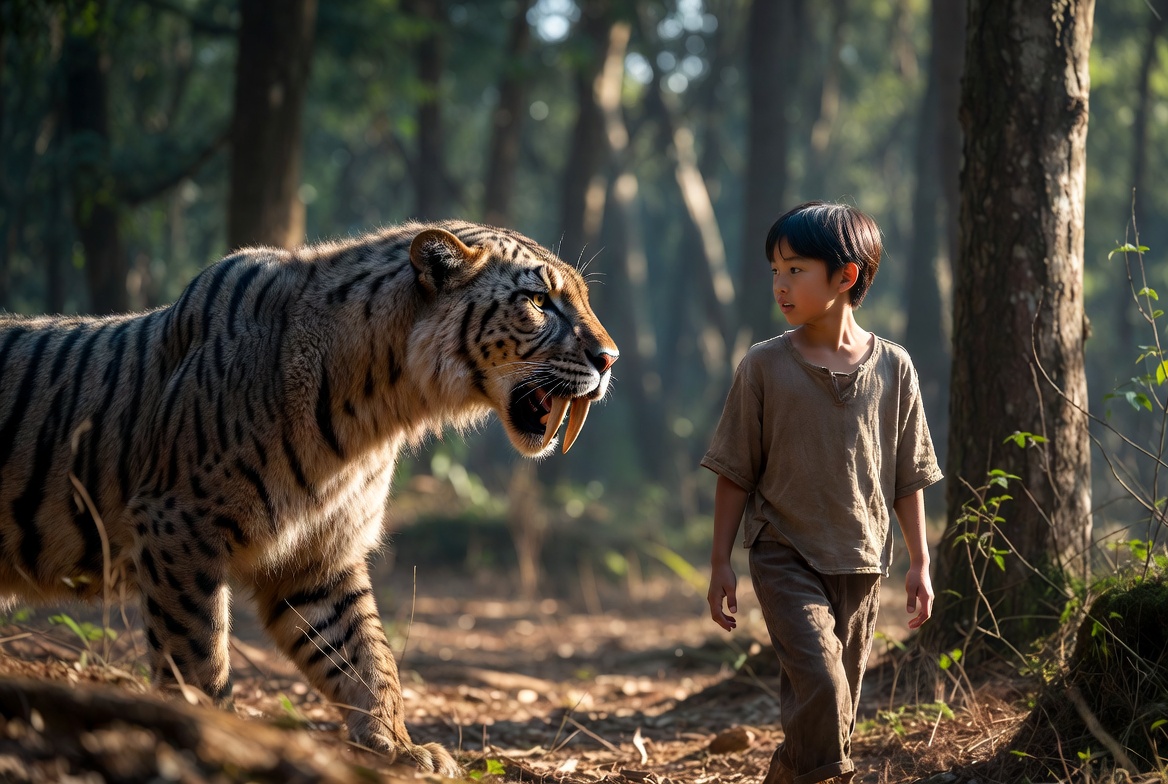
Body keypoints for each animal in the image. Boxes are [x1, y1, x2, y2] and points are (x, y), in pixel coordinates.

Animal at [0, 221, 618, 776]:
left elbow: (367, 656)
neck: (378, 413)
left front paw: (397, 746)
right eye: (538, 301)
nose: (610, 358)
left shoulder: (319, 557)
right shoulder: (179, 524)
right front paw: (213, 731)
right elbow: (198, 650)